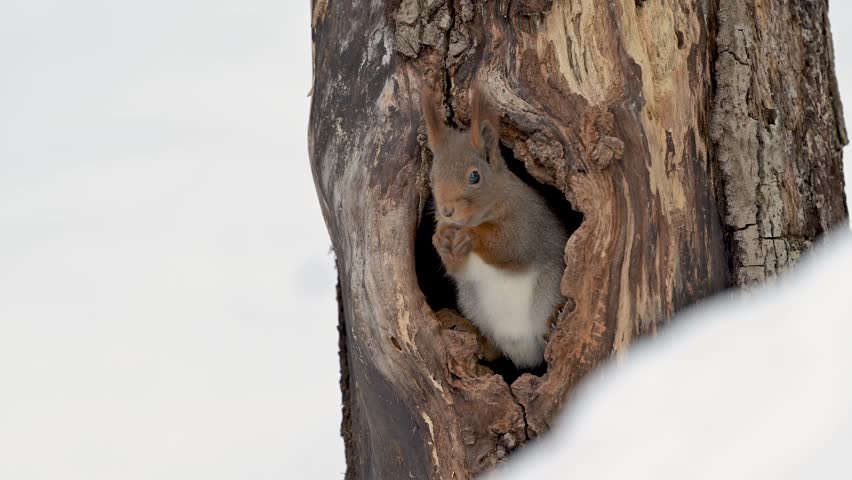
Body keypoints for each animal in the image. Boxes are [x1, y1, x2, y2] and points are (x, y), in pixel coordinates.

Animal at [421, 85, 568, 369]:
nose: (446, 211)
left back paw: (553, 321)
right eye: (432, 178)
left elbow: (512, 248)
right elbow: (459, 271)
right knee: (493, 351)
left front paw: (471, 236)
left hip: (549, 286)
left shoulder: (527, 223)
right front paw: (440, 240)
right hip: (473, 304)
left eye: (474, 176)